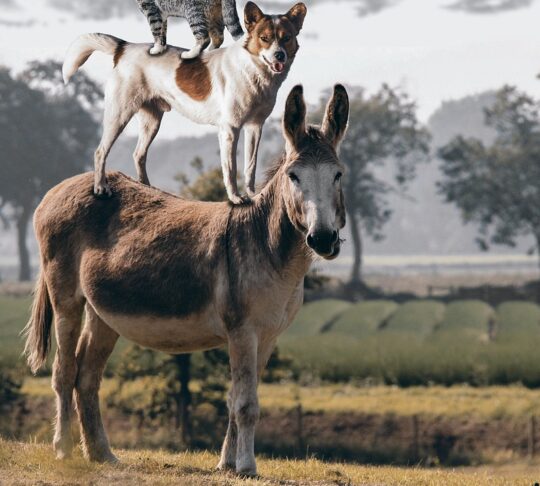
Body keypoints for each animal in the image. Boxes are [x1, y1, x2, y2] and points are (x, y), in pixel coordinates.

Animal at [61, 0, 306, 201]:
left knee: (138, 154)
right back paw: (100, 187)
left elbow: (250, 166)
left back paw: (149, 189)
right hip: (119, 115)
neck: (252, 68)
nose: (279, 56)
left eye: (286, 38)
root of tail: (124, 47)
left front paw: (253, 194)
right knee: (100, 151)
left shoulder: (255, 127)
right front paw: (236, 199)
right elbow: (230, 168)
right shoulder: (230, 129)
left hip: (151, 121)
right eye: (264, 38)